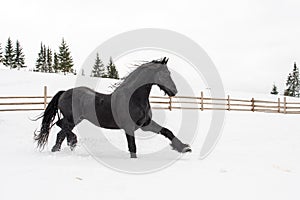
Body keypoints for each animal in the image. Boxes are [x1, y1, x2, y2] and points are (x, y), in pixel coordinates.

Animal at [34, 57, 190, 158]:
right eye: (165, 74)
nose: (174, 91)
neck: (134, 99)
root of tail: (64, 92)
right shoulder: (129, 127)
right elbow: (132, 147)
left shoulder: (145, 124)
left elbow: (167, 131)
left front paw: (184, 148)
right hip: (72, 118)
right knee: (60, 127)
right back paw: (70, 142)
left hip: (74, 120)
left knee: (61, 131)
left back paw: (62, 147)